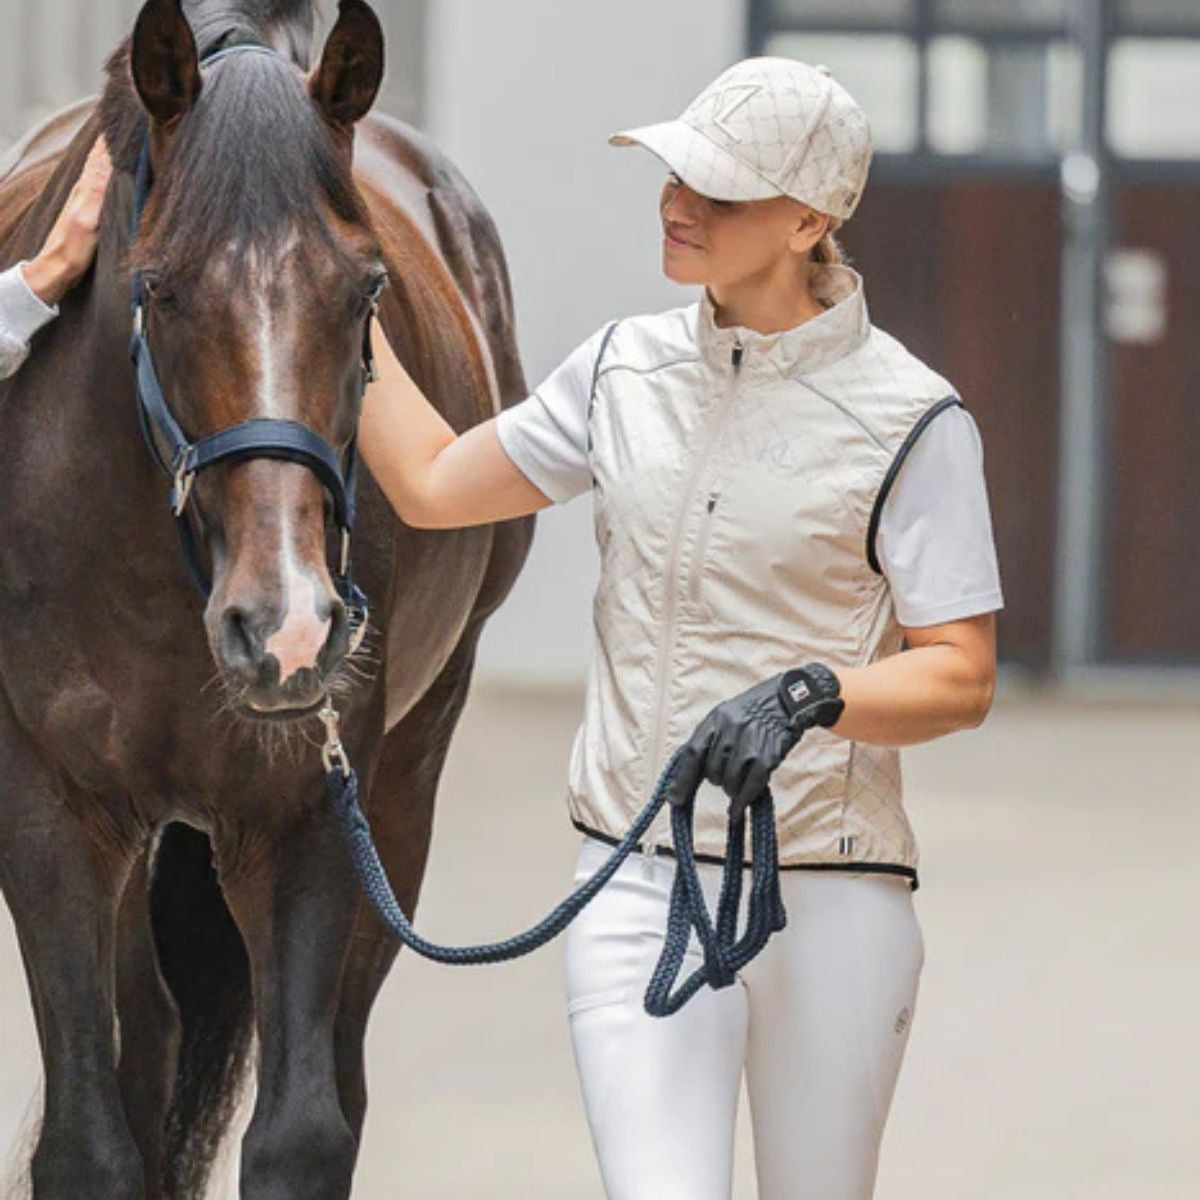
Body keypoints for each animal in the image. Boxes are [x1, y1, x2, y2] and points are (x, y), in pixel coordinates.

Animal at [0, 1, 533, 1196]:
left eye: (368, 290)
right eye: (156, 285)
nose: (287, 629)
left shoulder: (308, 818)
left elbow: (301, 1132)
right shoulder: (52, 814)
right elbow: (87, 1141)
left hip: (406, 783)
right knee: (147, 1047)